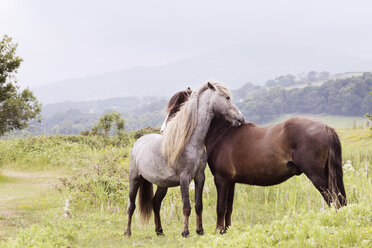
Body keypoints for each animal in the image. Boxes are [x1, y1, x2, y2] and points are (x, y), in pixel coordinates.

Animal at [124, 81, 244, 236]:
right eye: (227, 97)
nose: (241, 119)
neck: (191, 143)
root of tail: (139, 142)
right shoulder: (184, 178)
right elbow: (186, 206)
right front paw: (185, 232)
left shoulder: (200, 177)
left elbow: (198, 205)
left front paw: (200, 230)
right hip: (135, 179)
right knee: (131, 206)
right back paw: (127, 232)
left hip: (162, 184)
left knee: (155, 203)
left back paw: (159, 231)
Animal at [161, 88, 348, 233]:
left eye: (178, 107)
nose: (163, 130)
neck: (223, 134)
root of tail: (325, 126)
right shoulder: (231, 182)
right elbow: (228, 208)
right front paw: (226, 230)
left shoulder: (221, 180)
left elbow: (220, 207)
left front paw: (217, 230)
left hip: (317, 176)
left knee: (332, 198)